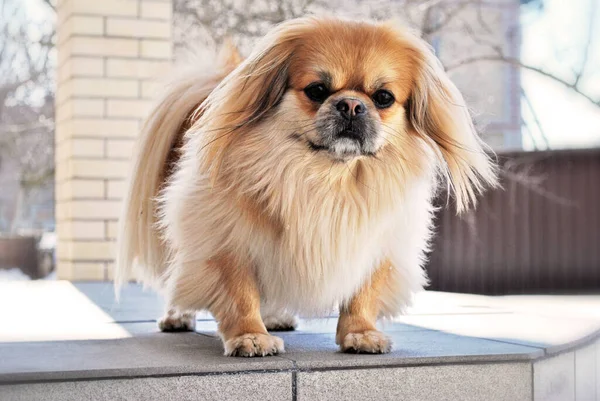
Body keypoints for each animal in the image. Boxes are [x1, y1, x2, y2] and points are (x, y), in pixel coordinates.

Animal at [116, 16, 496, 356]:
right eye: (317, 91)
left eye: (383, 97)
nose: (352, 105)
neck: (327, 178)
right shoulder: (226, 241)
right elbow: (240, 293)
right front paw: (250, 337)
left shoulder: (377, 243)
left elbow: (363, 294)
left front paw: (360, 334)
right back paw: (178, 316)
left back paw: (275, 316)